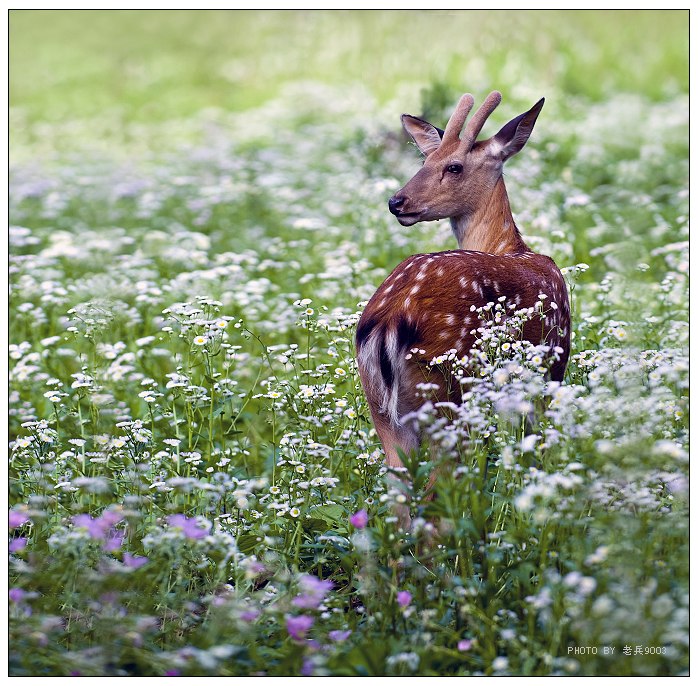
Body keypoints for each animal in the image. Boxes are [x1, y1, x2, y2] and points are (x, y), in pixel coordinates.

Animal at [356, 92, 568, 528]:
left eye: (452, 165)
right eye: (424, 161)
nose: (396, 202)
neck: (511, 246)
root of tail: (388, 320)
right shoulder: (553, 368)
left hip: (380, 407)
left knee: (397, 503)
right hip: (446, 391)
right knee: (435, 499)